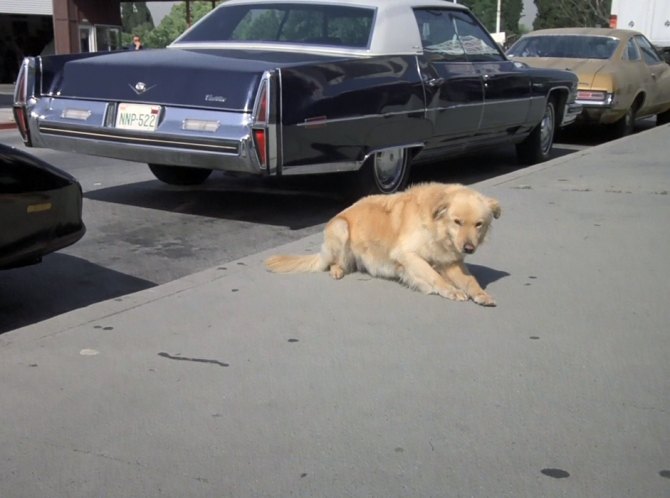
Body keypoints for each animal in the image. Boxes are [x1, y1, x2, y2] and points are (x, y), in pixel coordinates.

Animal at [266, 183, 502, 306]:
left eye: (479, 224)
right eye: (457, 222)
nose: (468, 248)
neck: (435, 228)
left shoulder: (451, 261)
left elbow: (469, 280)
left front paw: (480, 294)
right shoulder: (407, 255)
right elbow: (433, 275)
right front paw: (450, 290)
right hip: (341, 228)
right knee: (333, 262)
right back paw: (337, 270)